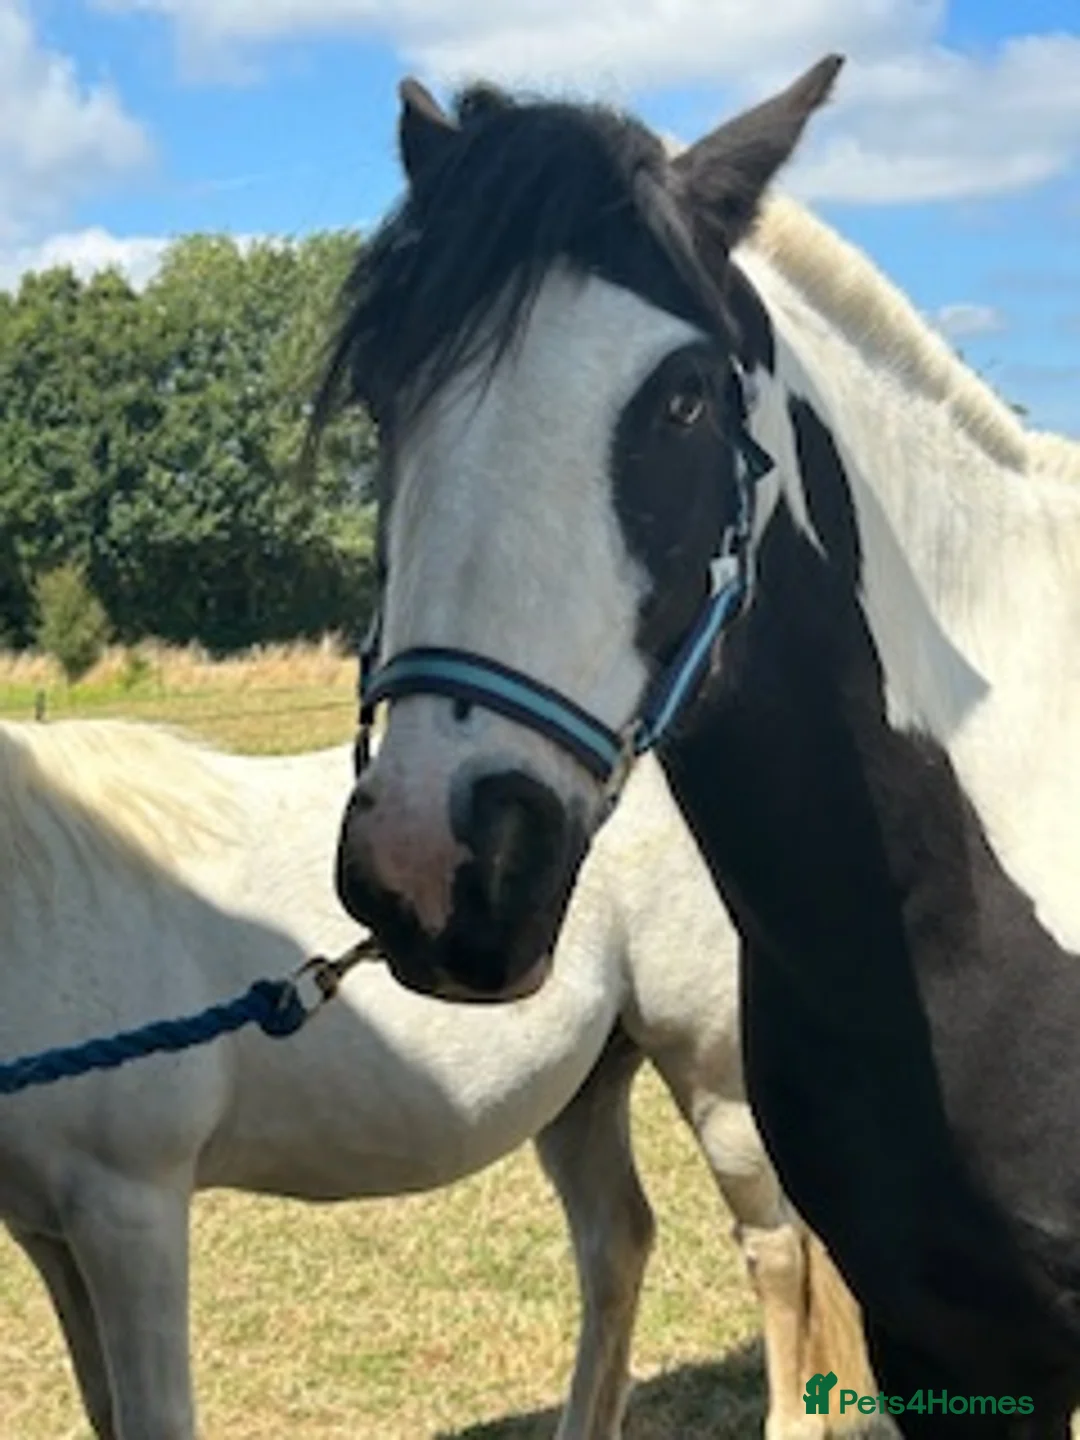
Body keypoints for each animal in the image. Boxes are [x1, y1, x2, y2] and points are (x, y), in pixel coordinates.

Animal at [0, 717, 879, 1439]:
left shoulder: (132, 1206)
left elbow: (155, 1415)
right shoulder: (50, 1229)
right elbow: (106, 1408)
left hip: (714, 1081)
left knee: (776, 1252)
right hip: (585, 1093)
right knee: (616, 1246)